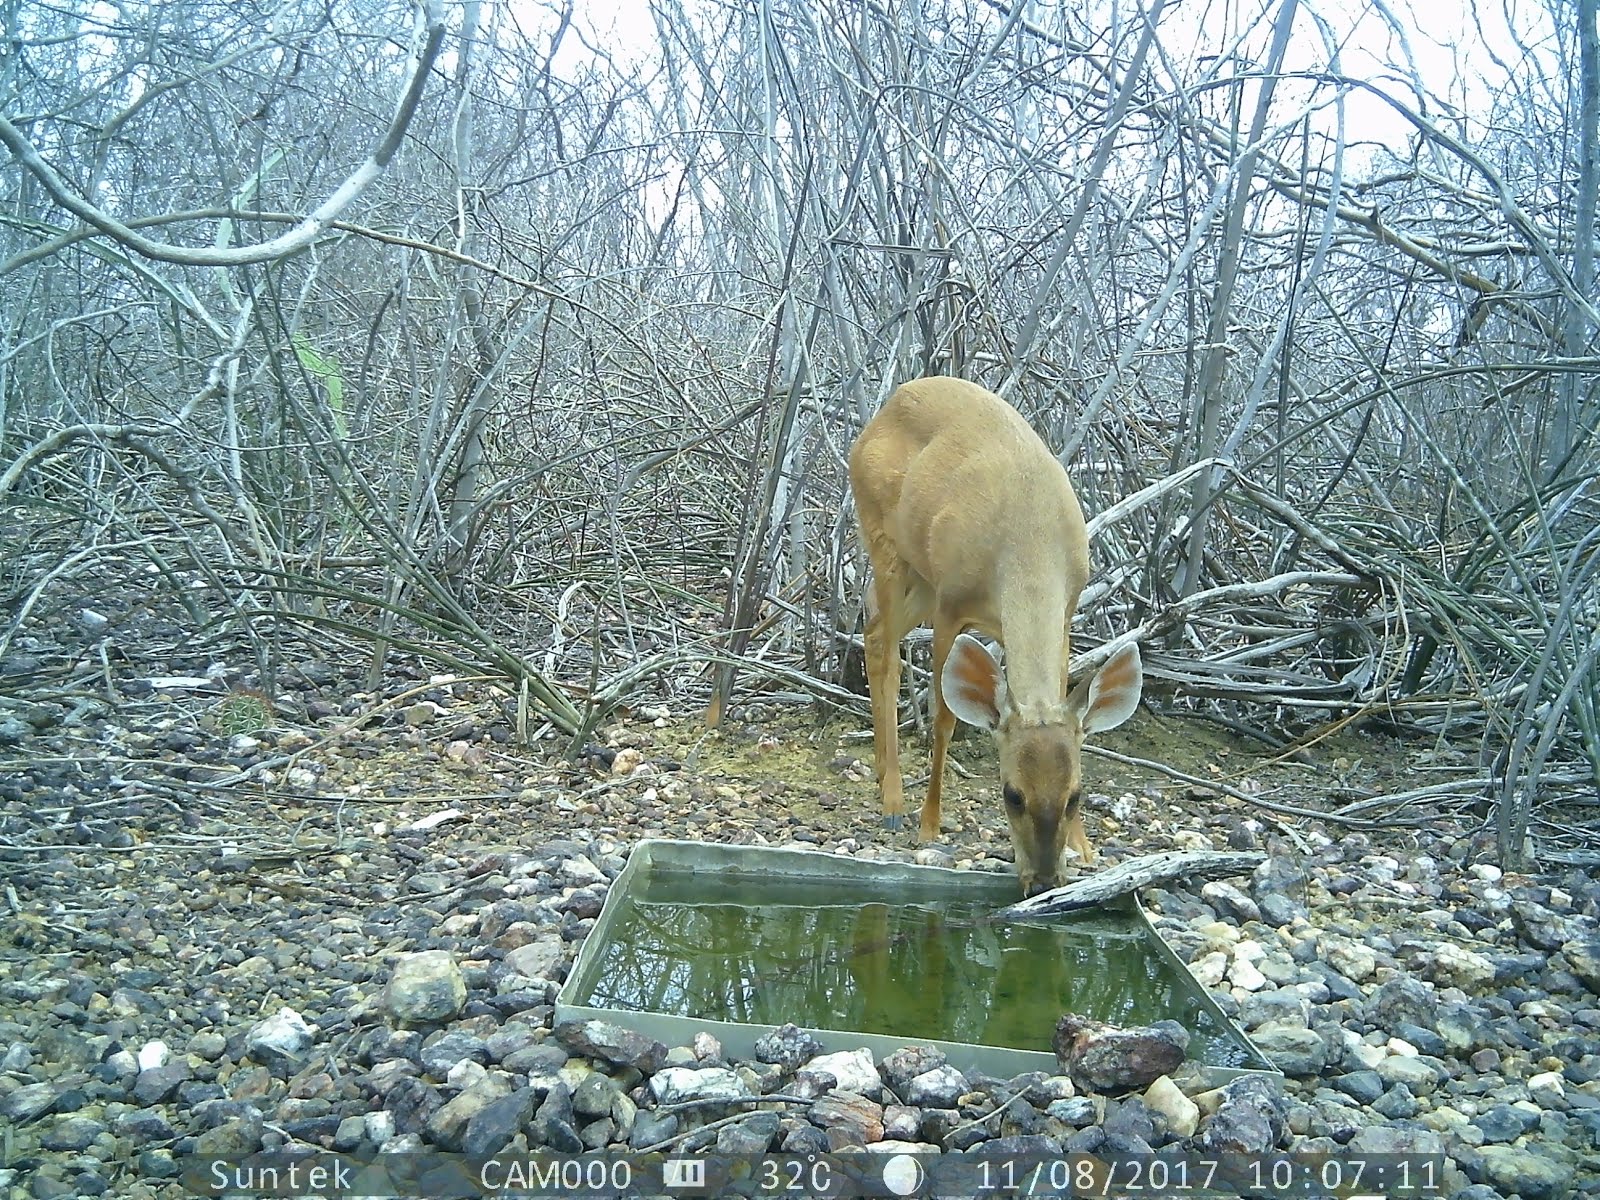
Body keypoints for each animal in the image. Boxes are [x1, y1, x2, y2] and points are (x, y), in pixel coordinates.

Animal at [851, 380, 1139, 896]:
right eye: (1012, 795)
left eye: (1075, 795)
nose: (1043, 880)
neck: (1027, 543)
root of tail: (887, 407)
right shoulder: (951, 604)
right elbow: (944, 718)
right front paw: (930, 823)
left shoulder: (1067, 612)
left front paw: (1084, 847)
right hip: (886, 541)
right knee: (885, 645)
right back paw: (894, 802)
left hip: (919, 578)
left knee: (875, 631)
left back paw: (885, 776)